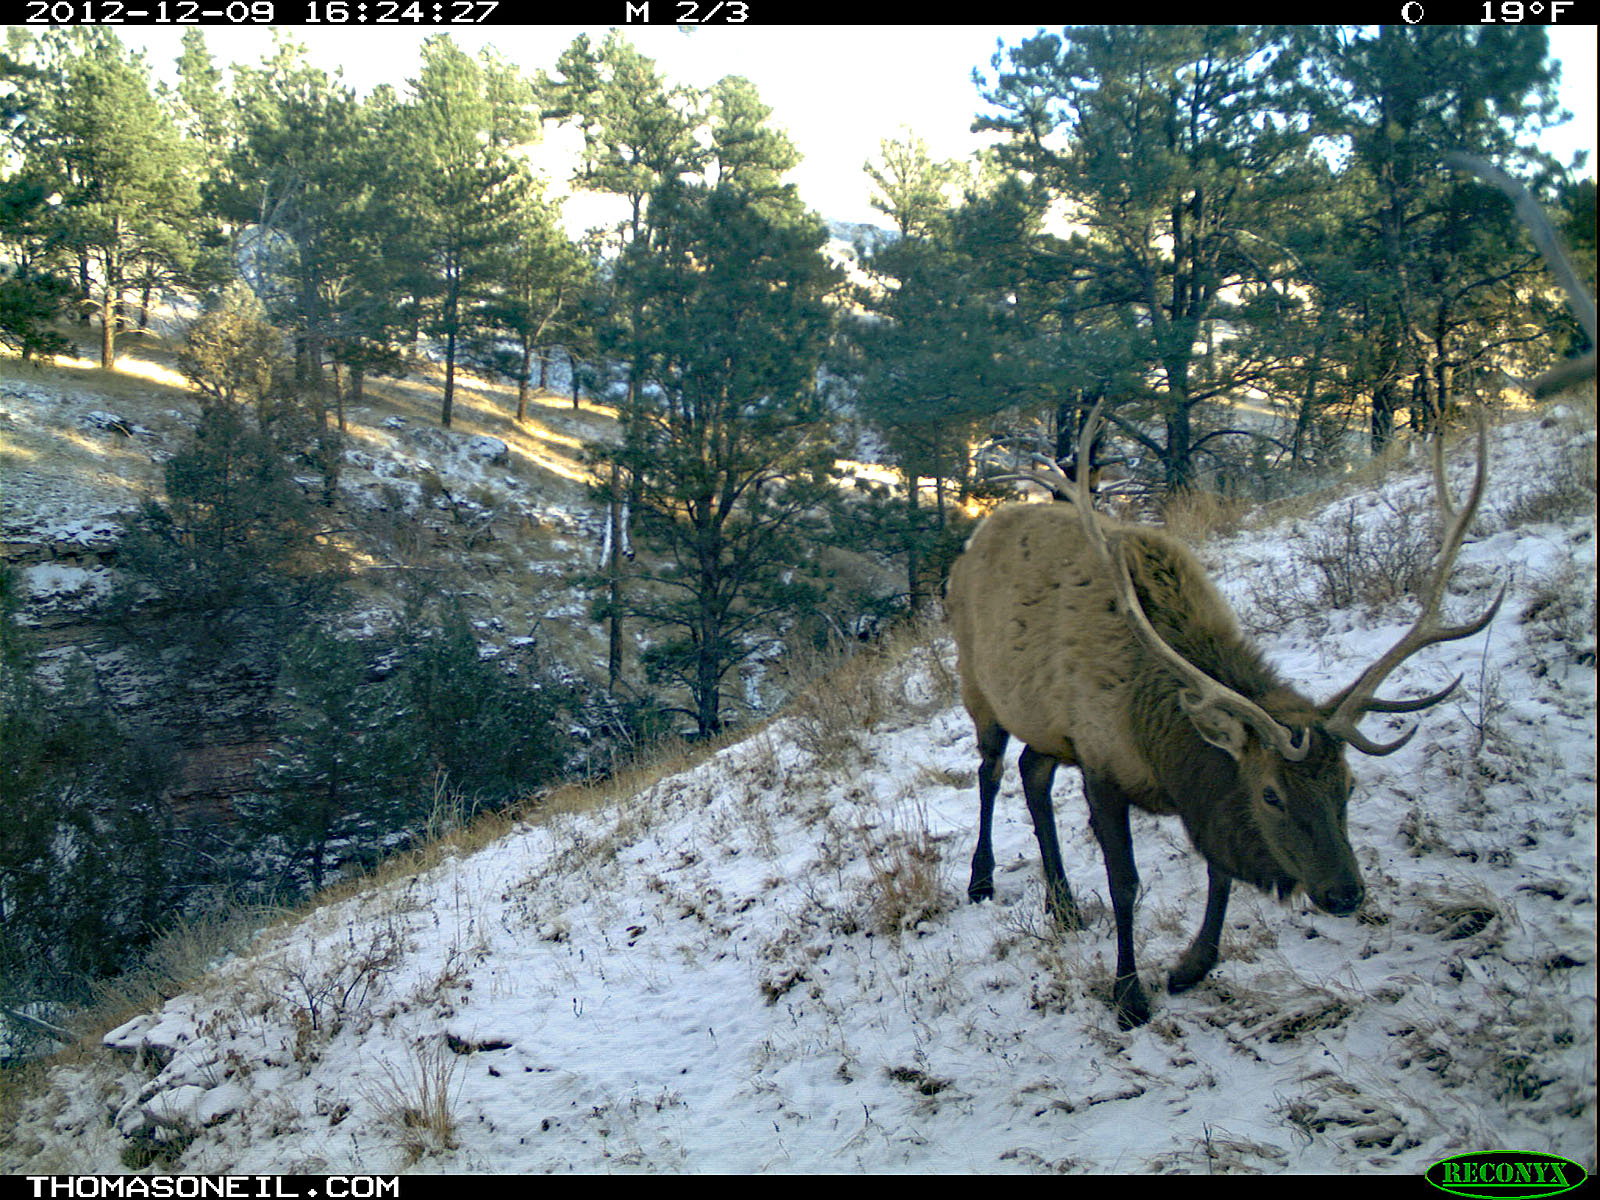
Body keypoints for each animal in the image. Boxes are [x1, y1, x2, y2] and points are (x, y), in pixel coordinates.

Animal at [940, 401, 1504, 1024]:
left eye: (1349, 786)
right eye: (1272, 795)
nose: (1345, 892)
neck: (1158, 742)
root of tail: (971, 545)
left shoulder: (1189, 787)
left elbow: (1221, 872)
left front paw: (1190, 968)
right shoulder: (1100, 762)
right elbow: (1125, 884)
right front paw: (1129, 994)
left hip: (1044, 726)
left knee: (1031, 774)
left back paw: (1061, 905)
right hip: (978, 685)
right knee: (991, 772)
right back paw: (982, 881)